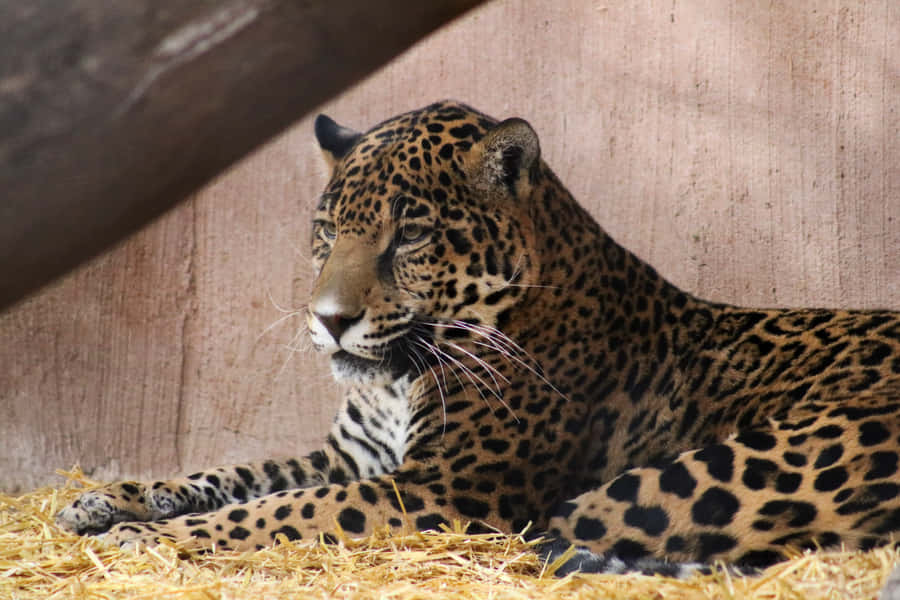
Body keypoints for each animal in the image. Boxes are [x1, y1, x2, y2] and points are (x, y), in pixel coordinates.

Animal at [57, 100, 900, 576]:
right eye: (327, 231)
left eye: (411, 235)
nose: (328, 320)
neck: (396, 378)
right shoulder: (351, 456)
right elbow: (237, 474)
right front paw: (108, 501)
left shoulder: (442, 489)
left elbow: (278, 511)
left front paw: (143, 541)